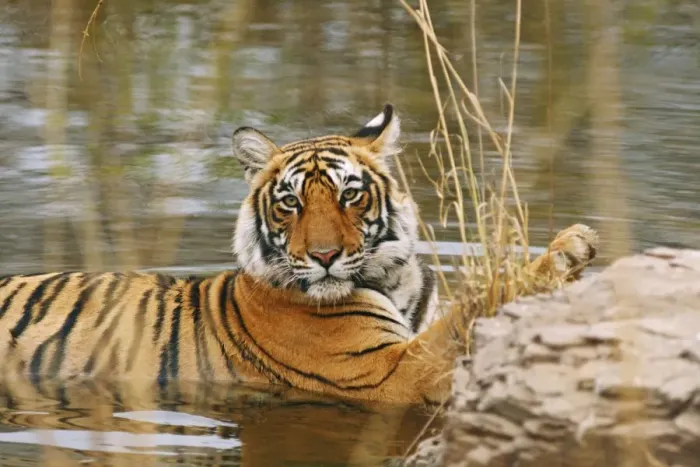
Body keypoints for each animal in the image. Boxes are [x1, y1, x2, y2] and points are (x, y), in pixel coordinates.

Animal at [0, 105, 599, 405]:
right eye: (289, 202)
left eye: (350, 195)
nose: (326, 255)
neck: (392, 279)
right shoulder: (392, 373)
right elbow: (467, 316)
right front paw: (571, 246)